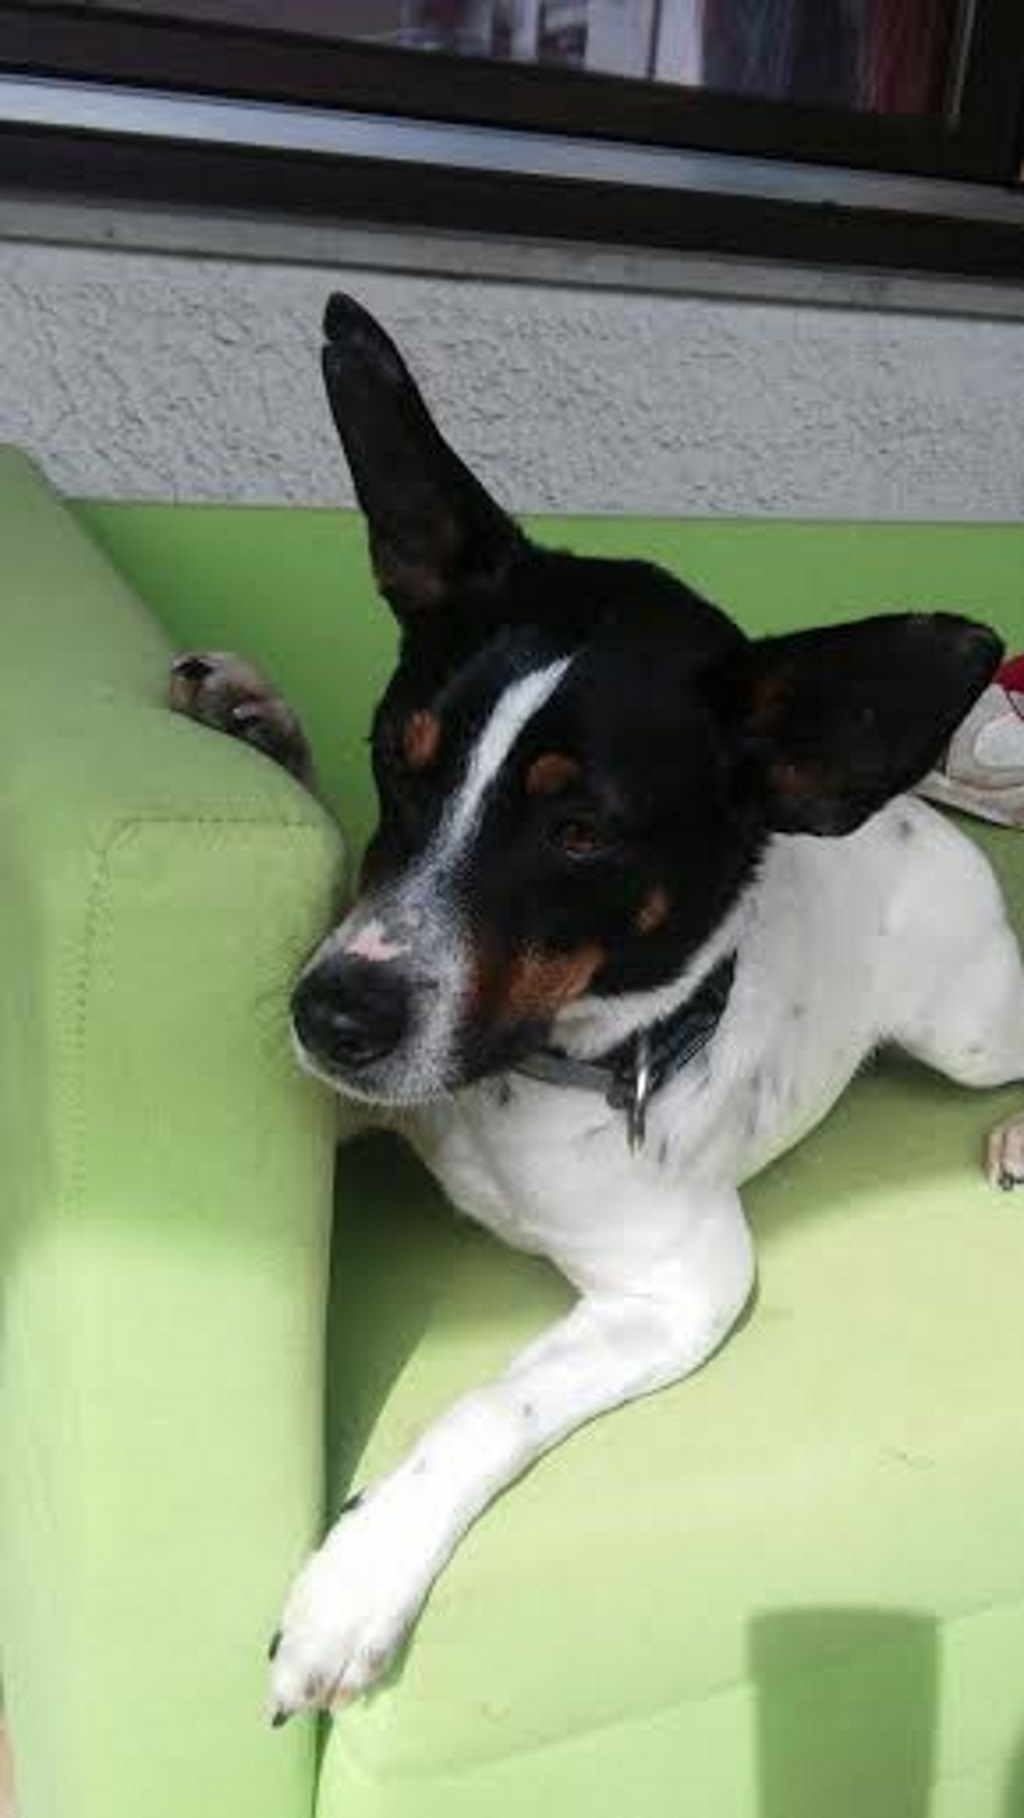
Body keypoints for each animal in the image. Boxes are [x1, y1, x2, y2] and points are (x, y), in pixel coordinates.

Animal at [170, 293, 1024, 1723]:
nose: (329, 1018)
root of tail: (911, 809)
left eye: (580, 834)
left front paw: (357, 1581)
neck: (523, 1077)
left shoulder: (681, 1289)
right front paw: (260, 723)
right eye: (394, 760)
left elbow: (484, 1410)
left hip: (965, 1027)